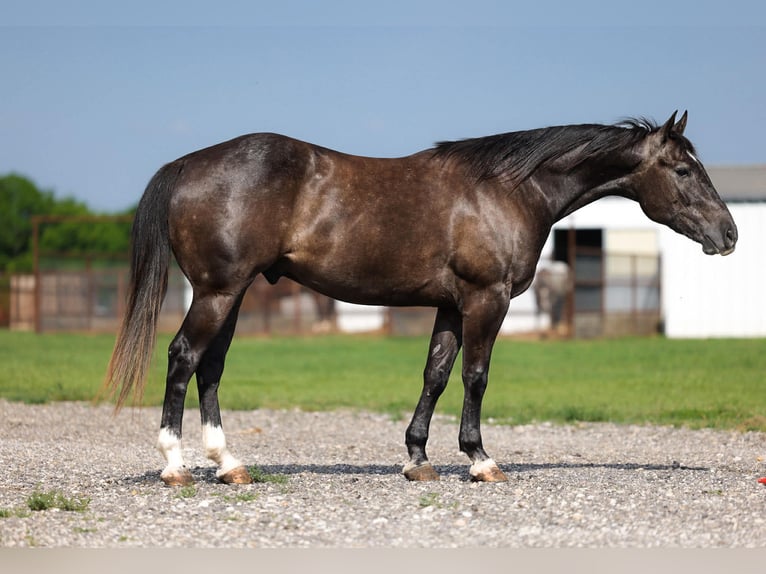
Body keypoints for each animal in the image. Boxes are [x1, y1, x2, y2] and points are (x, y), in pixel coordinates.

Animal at [104, 111, 737, 486]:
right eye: (683, 169)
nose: (728, 234)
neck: (506, 190)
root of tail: (187, 164)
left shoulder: (452, 305)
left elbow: (435, 374)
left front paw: (418, 460)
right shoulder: (487, 300)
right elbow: (476, 377)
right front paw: (481, 460)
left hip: (231, 295)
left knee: (210, 368)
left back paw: (229, 465)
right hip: (218, 292)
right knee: (184, 358)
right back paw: (175, 466)